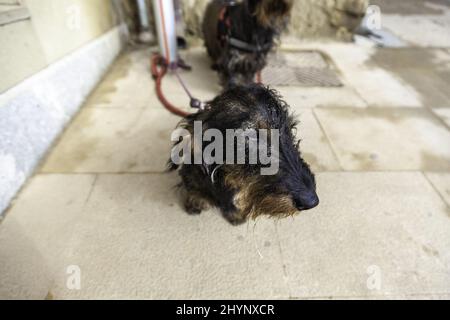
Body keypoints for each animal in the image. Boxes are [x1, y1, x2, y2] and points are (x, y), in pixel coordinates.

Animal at [169, 85, 320, 225]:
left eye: (290, 128)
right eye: (251, 137)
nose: (312, 201)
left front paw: (235, 214)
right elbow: (195, 191)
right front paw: (195, 202)